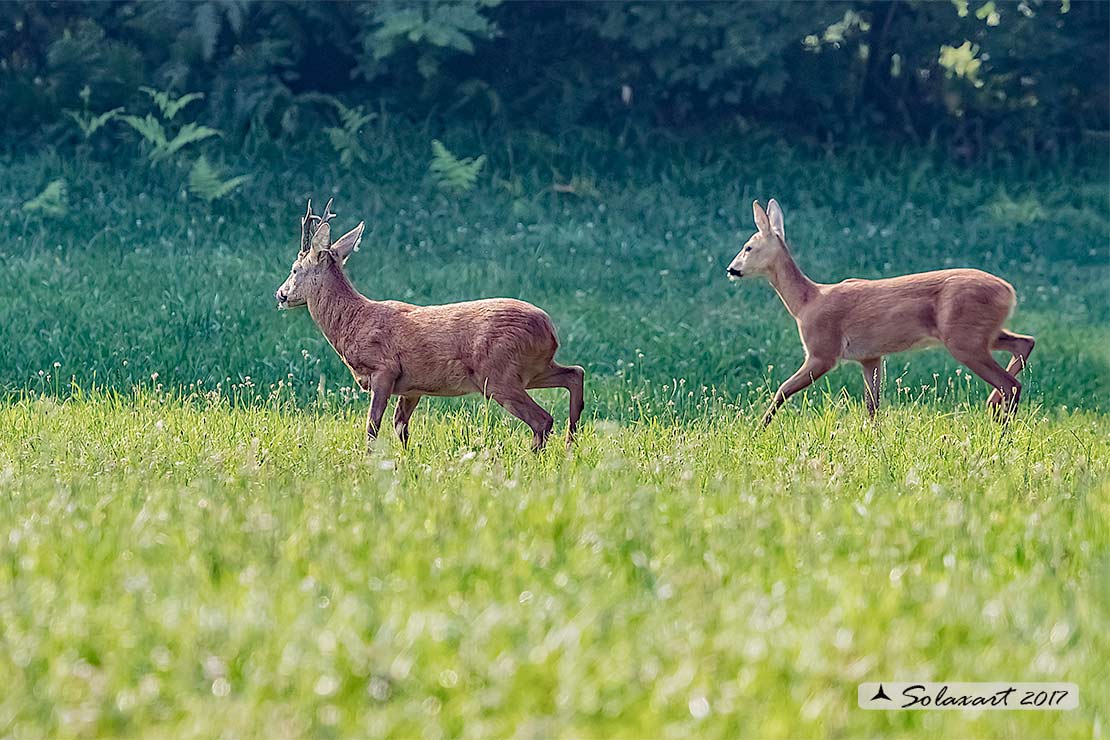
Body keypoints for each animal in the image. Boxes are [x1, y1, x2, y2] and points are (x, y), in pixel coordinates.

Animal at [274, 198, 586, 452]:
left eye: (294, 269)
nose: (280, 294)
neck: (353, 321)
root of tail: (549, 329)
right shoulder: (412, 387)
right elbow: (401, 427)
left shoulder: (384, 369)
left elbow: (372, 427)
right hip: (530, 370)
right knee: (575, 374)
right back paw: (570, 446)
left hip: (499, 374)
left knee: (542, 419)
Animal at [728, 199, 1030, 426]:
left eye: (748, 247)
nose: (731, 269)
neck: (806, 302)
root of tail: (1009, 292)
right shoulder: (871, 356)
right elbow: (873, 406)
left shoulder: (822, 351)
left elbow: (782, 390)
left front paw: (759, 429)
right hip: (980, 333)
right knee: (1025, 343)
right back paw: (993, 405)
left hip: (963, 338)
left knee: (1011, 383)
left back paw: (1001, 428)